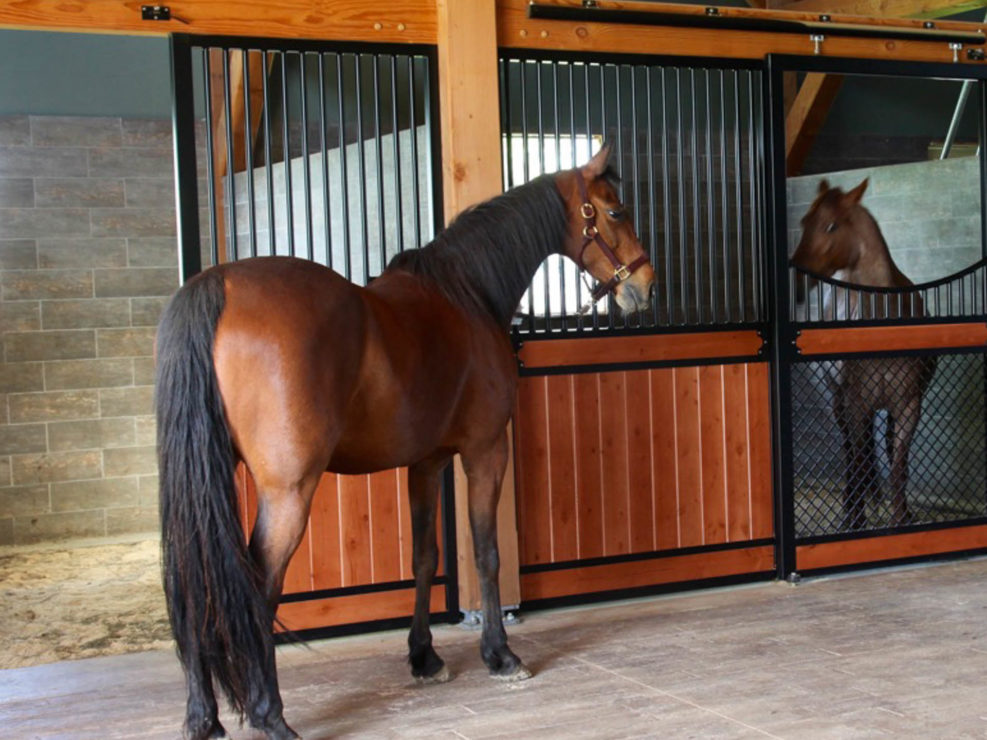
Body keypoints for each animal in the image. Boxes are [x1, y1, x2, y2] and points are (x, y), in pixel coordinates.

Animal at [154, 145, 656, 740]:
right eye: (616, 210)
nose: (645, 286)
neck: (465, 294)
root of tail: (218, 286)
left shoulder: (426, 463)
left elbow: (425, 556)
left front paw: (424, 657)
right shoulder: (485, 452)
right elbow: (486, 553)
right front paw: (499, 654)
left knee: (193, 583)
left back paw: (202, 717)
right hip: (289, 493)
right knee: (258, 587)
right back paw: (269, 714)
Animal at [792, 179, 936, 532]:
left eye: (831, 226)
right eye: (804, 222)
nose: (797, 281)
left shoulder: (908, 405)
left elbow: (898, 465)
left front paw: (901, 516)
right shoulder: (856, 405)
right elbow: (857, 460)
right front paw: (854, 519)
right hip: (839, 401)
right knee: (850, 453)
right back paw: (850, 507)